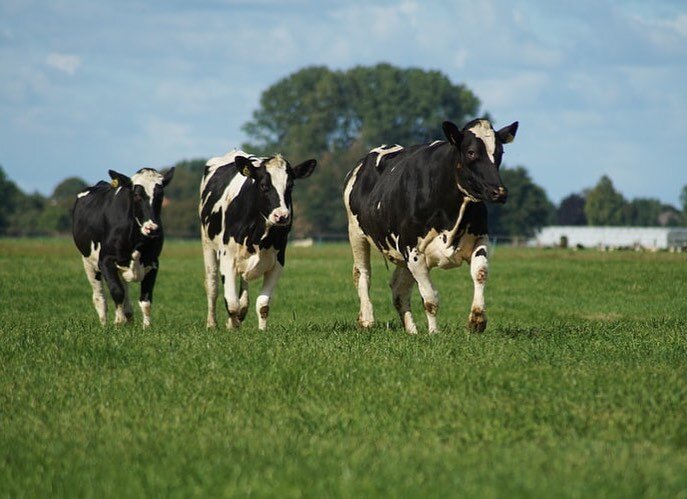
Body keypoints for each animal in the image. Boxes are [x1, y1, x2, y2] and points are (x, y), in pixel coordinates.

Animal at [71, 167, 175, 328]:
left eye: (160, 195)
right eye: (137, 195)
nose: (152, 228)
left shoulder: (153, 262)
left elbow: (145, 298)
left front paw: (147, 327)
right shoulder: (105, 260)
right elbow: (117, 291)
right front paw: (118, 322)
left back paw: (129, 318)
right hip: (88, 262)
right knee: (99, 297)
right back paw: (105, 324)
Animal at [199, 148, 318, 330]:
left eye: (290, 186)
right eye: (263, 185)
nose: (281, 216)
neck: (258, 235)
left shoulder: (278, 262)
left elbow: (263, 305)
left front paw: (261, 330)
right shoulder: (227, 257)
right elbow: (231, 303)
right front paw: (233, 326)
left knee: (243, 286)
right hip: (208, 244)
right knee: (212, 286)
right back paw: (212, 324)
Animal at [346, 118, 520, 334]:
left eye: (500, 152)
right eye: (471, 152)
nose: (499, 192)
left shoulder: (481, 238)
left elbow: (480, 273)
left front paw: (477, 319)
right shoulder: (413, 251)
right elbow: (430, 298)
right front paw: (434, 333)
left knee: (398, 288)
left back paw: (412, 331)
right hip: (356, 233)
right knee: (362, 274)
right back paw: (367, 320)